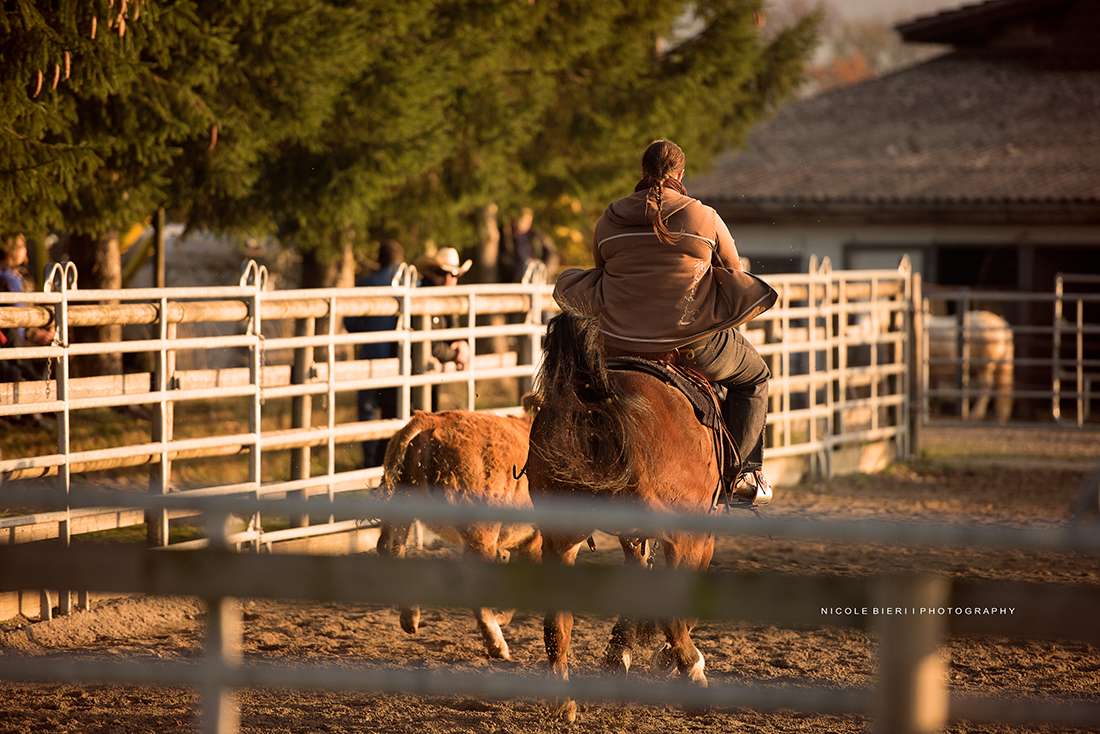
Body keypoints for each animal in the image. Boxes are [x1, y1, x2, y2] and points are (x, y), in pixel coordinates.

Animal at [375, 409, 541, 660]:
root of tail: (432, 419)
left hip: (403, 503)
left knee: (390, 549)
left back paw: (410, 616)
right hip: (481, 532)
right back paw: (497, 644)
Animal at [525, 310, 720, 722]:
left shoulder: (633, 535)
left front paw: (620, 652)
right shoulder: (697, 531)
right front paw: (665, 656)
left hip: (560, 537)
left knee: (556, 622)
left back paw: (562, 703)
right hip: (680, 533)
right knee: (669, 609)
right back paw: (693, 676)